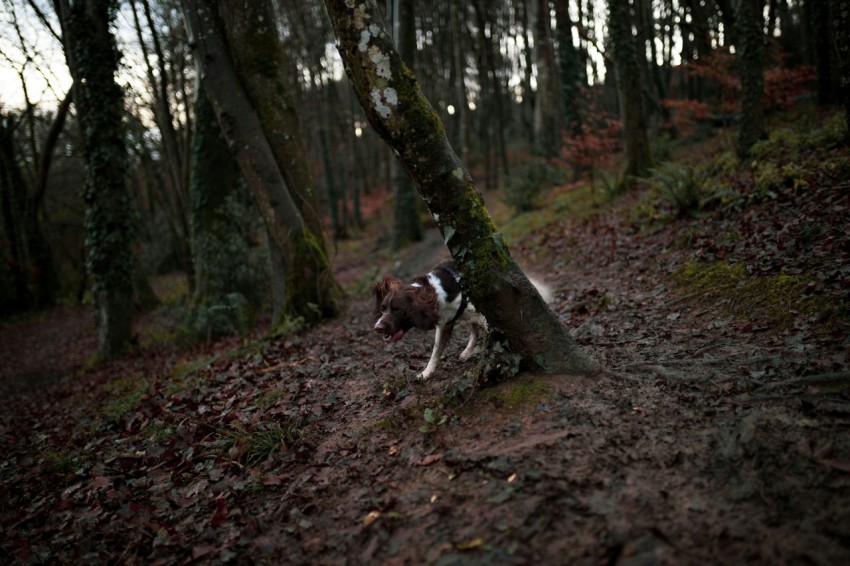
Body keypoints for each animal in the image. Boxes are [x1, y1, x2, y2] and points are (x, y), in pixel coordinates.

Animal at [372, 262, 548, 382]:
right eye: (382, 309)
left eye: (397, 309)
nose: (377, 328)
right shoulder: (445, 324)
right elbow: (436, 351)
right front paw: (426, 373)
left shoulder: (483, 313)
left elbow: (493, 337)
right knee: (474, 330)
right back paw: (468, 351)